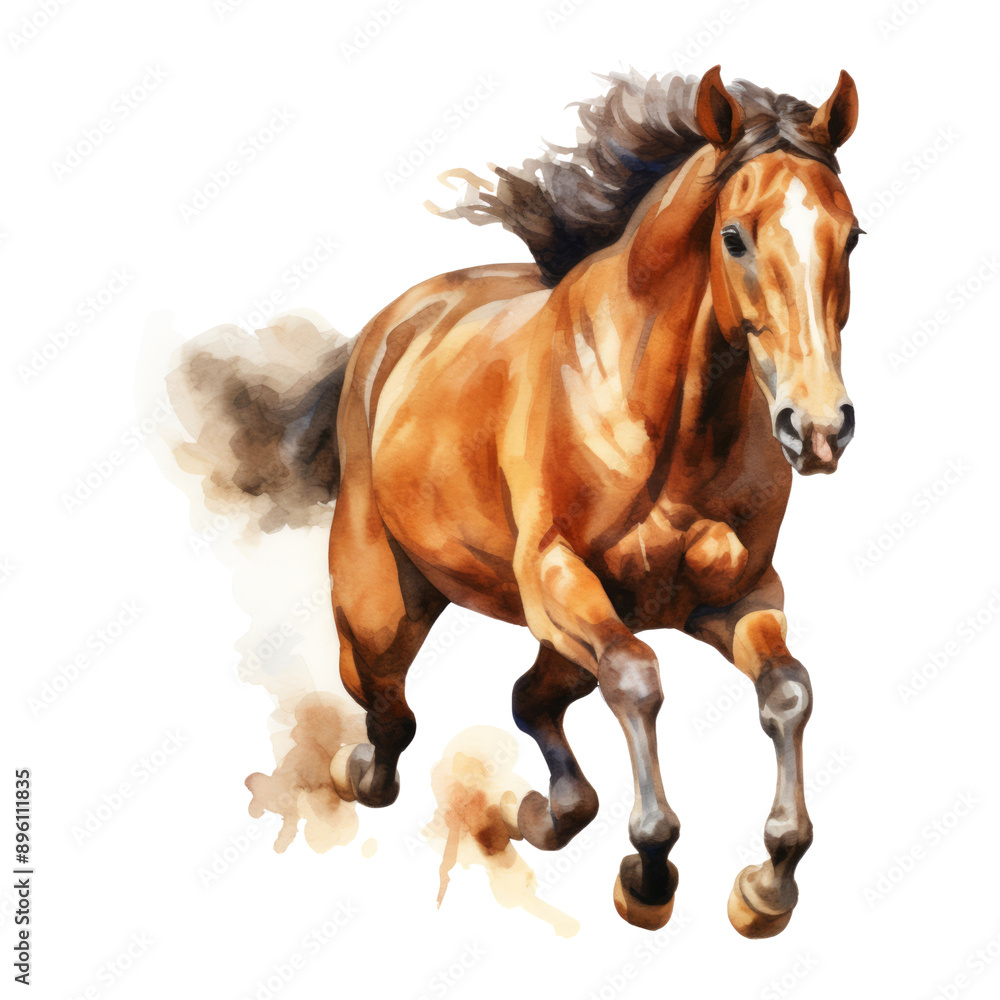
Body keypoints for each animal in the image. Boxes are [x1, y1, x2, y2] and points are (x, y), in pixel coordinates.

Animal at [176, 65, 861, 937]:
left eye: (852, 236)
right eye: (735, 237)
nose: (819, 427)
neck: (667, 422)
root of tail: (392, 327)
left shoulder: (735, 596)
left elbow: (787, 691)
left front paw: (766, 884)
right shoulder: (555, 578)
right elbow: (637, 678)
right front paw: (648, 872)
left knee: (528, 701)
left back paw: (545, 811)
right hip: (381, 598)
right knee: (389, 712)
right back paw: (363, 769)